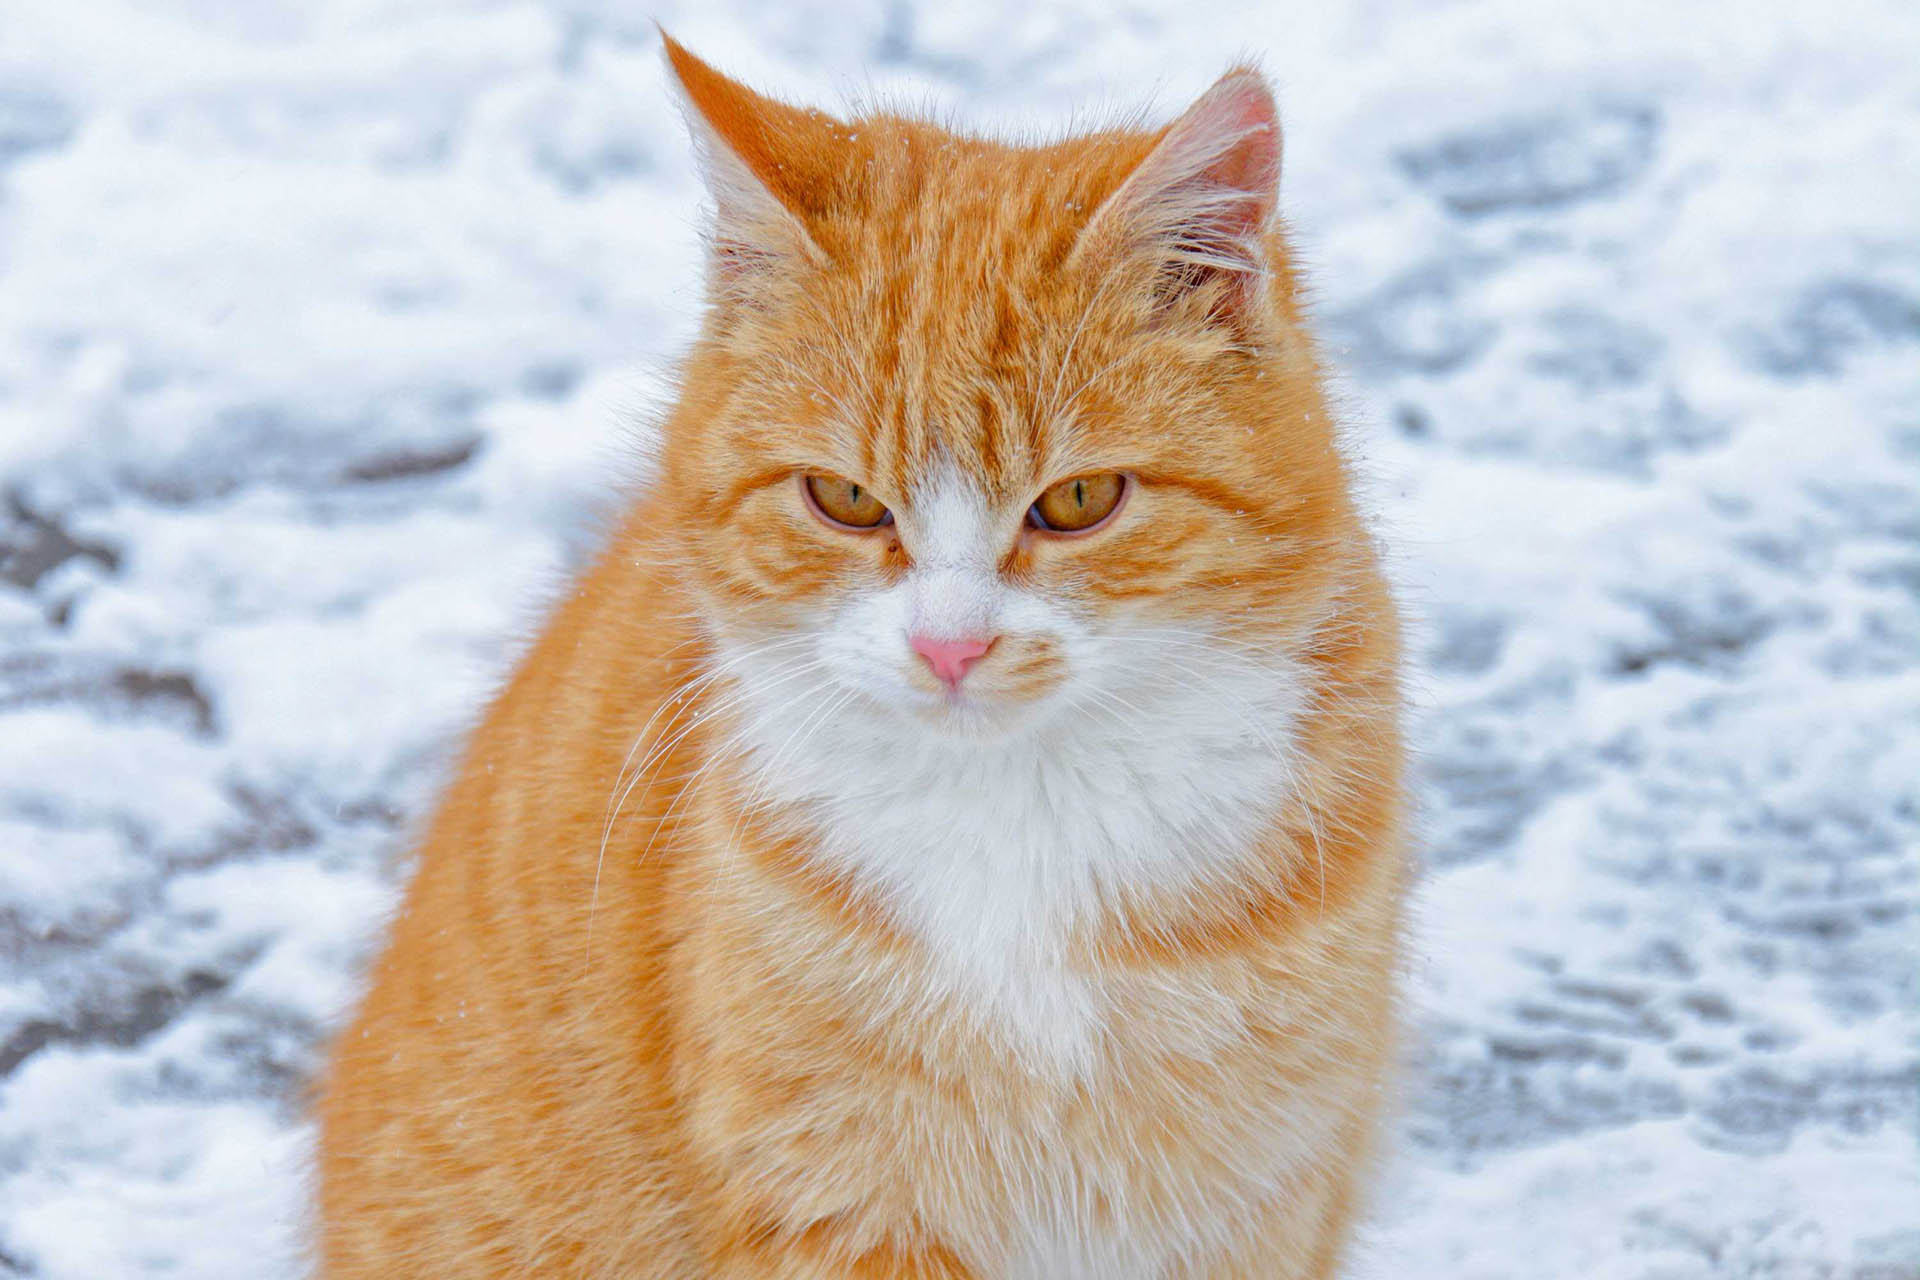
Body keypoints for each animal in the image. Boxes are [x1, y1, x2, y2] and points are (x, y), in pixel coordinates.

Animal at [318, 35, 1413, 1274]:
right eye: (844, 499)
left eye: (1080, 499)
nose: (950, 643)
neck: (1021, 822)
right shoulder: (835, 1196)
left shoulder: (1252, 1203)